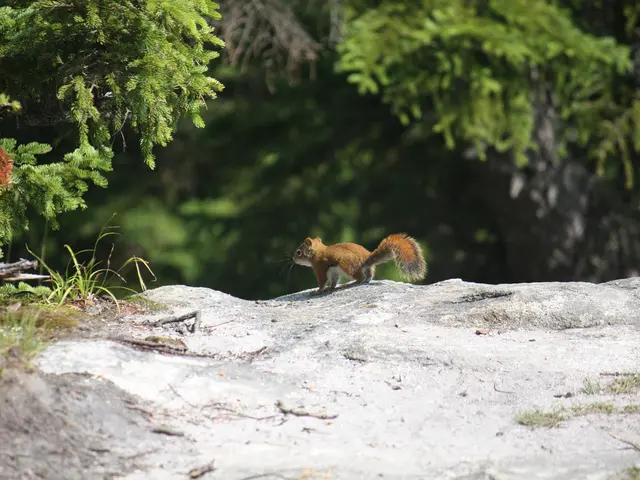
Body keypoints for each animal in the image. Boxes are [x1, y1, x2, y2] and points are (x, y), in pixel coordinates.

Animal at [293, 233, 427, 294]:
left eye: (298, 252)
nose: (293, 259)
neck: (317, 252)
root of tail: (366, 258)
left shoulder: (320, 268)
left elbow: (322, 282)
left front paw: (317, 291)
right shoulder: (334, 272)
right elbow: (333, 282)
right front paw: (330, 288)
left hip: (347, 266)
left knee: (360, 277)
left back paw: (349, 284)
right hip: (364, 269)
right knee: (368, 276)